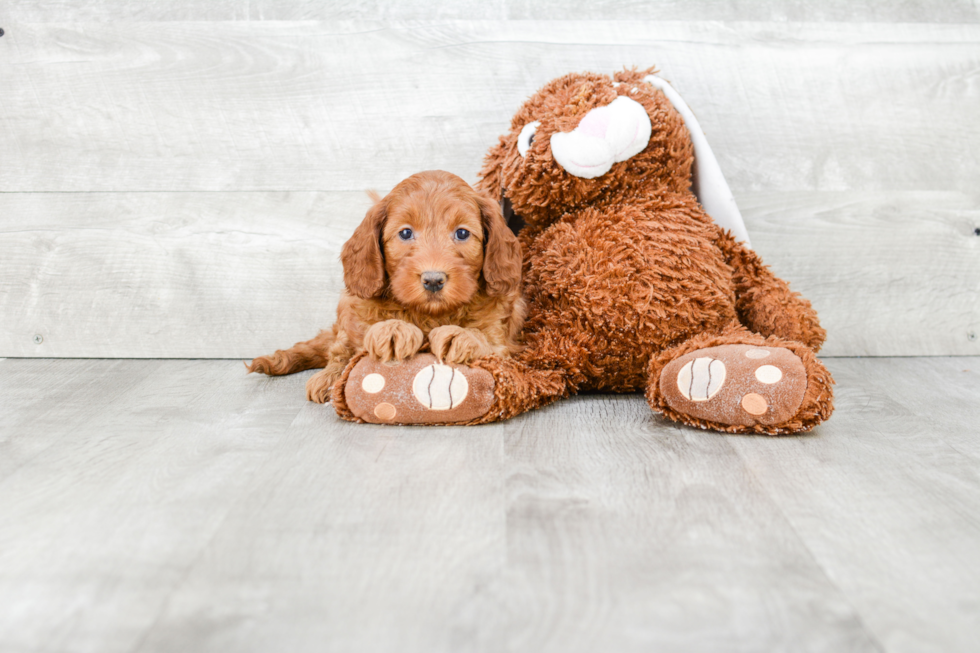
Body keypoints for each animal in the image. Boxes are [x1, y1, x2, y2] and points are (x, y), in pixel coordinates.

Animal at [249, 168, 524, 402]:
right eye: (405, 233)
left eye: (463, 233)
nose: (433, 280)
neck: (429, 314)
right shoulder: (358, 314)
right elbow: (360, 338)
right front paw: (393, 329)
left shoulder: (500, 334)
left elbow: (486, 338)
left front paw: (461, 335)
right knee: (334, 347)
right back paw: (316, 373)